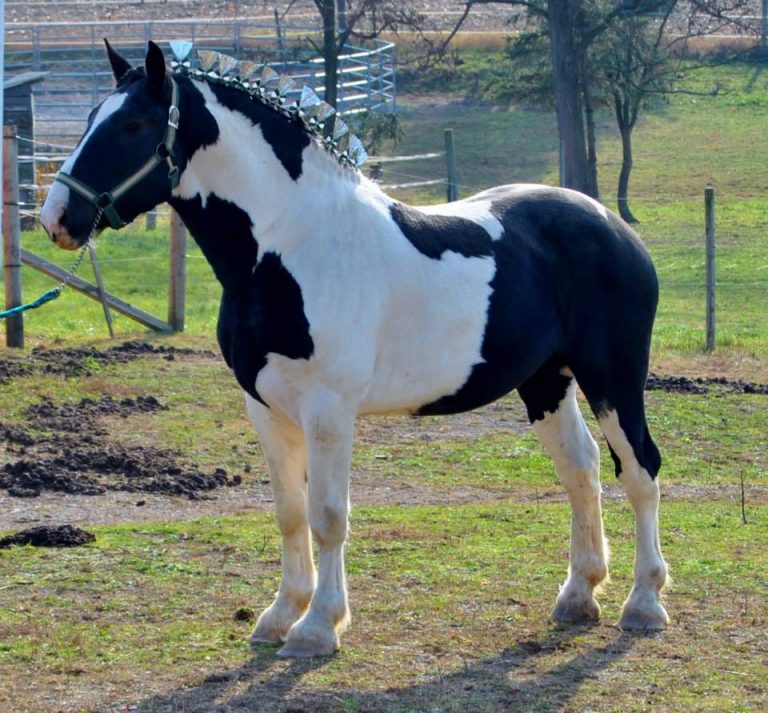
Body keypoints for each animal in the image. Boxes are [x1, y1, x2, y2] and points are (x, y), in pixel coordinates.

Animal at [40, 43, 664, 656]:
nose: (57, 219)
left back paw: (644, 603)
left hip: (613, 379)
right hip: (546, 382)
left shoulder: (329, 410)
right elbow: (290, 514)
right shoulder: (265, 409)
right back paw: (579, 595)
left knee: (639, 469)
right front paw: (279, 616)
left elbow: (327, 516)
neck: (291, 246)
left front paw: (318, 627)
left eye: (132, 125)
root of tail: (612, 224)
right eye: (91, 119)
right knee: (580, 469)